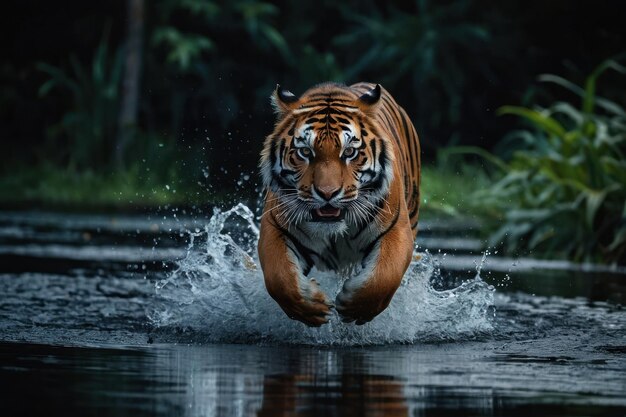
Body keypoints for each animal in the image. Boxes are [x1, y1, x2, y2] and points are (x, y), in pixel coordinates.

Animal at [258, 83, 420, 326]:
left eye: (350, 152)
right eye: (305, 152)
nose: (327, 193)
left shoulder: (396, 229)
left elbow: (384, 277)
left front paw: (354, 307)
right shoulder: (275, 226)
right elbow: (279, 278)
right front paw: (311, 306)